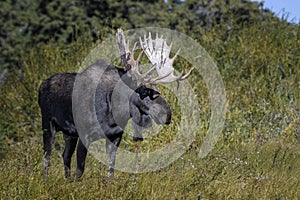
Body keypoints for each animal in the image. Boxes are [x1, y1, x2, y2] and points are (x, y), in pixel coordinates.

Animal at [38, 28, 192, 178]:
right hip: (48, 125)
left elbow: (111, 168)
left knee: (65, 156)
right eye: (143, 92)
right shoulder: (84, 135)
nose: (167, 115)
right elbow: (80, 170)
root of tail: (41, 87)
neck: (113, 112)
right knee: (47, 156)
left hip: (69, 133)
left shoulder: (115, 136)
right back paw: (46, 180)